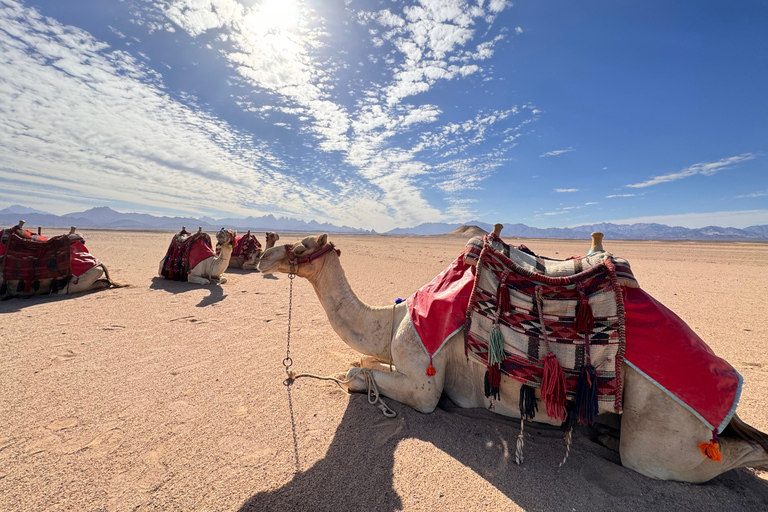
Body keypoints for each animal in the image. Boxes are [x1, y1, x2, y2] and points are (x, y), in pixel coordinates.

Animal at [258, 232, 768, 483]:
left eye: (299, 245)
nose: (262, 257)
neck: (396, 317)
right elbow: (361, 366)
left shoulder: (424, 380)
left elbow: (354, 374)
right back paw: (602, 432)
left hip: (663, 435)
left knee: (738, 452)